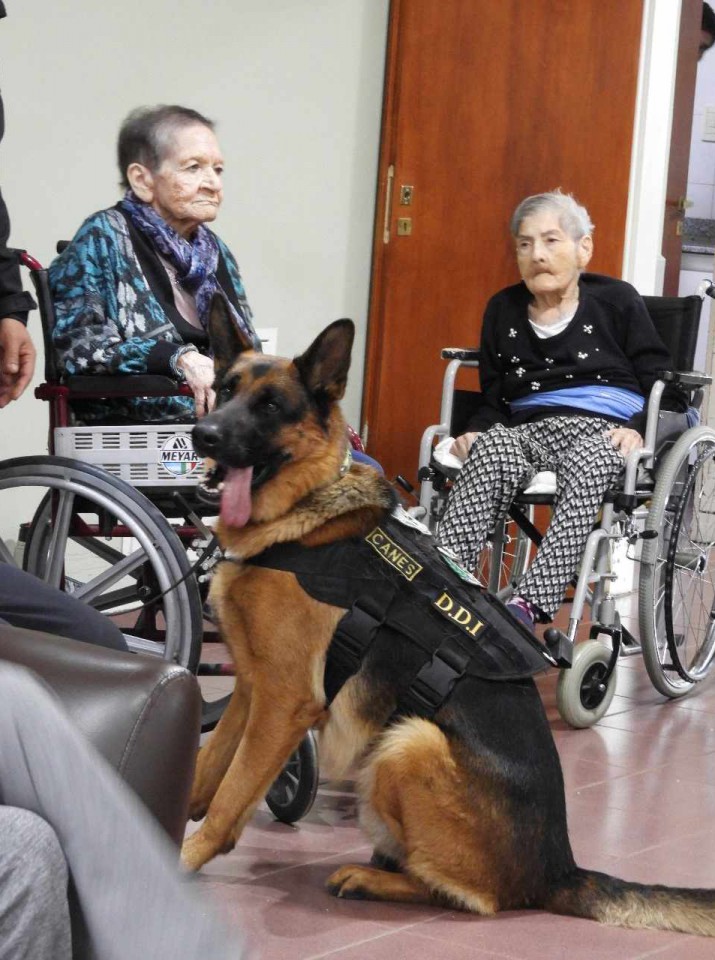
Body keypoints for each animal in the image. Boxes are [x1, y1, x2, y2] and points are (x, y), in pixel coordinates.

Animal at [183, 302, 715, 936]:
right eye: (227, 390)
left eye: (269, 406)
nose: (202, 435)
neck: (303, 516)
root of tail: (557, 870)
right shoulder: (252, 689)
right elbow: (208, 769)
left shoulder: (284, 702)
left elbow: (229, 798)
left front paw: (181, 861)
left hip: (408, 742)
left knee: (471, 897)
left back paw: (372, 879)